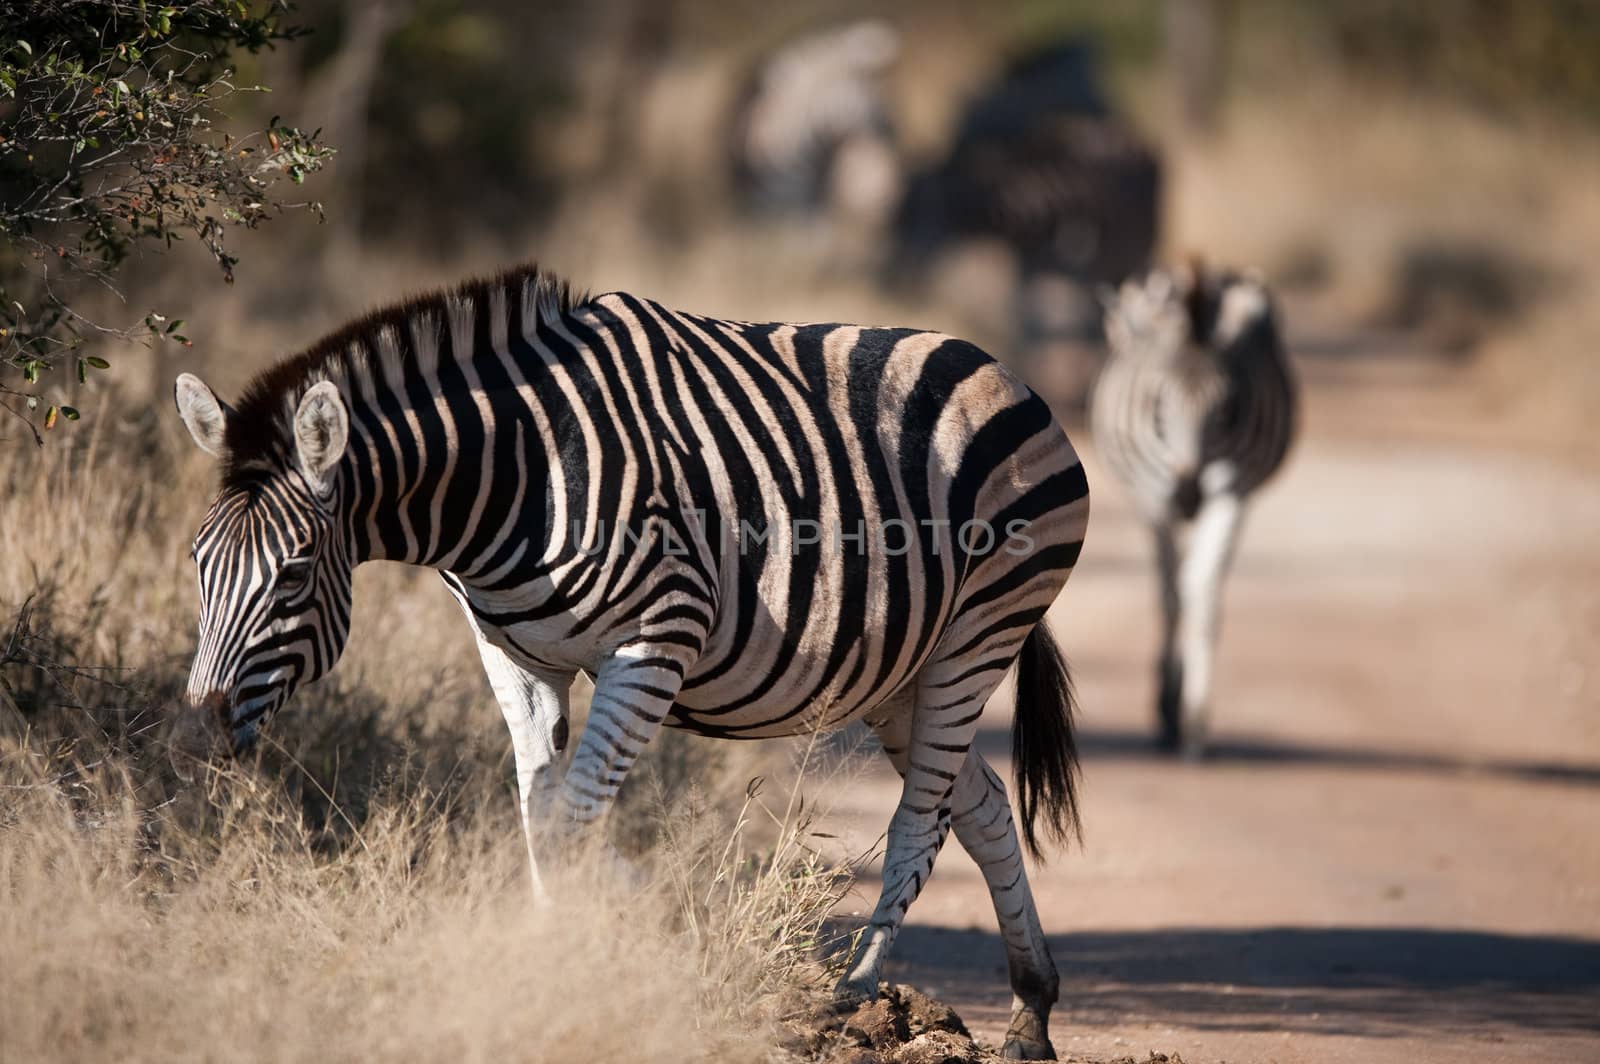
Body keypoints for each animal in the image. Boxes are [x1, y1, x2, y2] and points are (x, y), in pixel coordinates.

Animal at [175, 260, 1094, 1056]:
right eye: (196, 563)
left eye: (294, 573)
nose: (194, 740)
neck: (518, 472)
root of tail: (998, 369)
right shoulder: (514, 657)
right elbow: (542, 815)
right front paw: (564, 950)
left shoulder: (657, 639)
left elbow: (573, 816)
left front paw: (598, 944)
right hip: (902, 670)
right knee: (979, 805)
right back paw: (1030, 1013)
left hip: (980, 629)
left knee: (922, 817)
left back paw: (855, 992)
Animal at [1088, 264, 1299, 755]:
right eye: (1157, 403)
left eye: (1227, 408)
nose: (1188, 496)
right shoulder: (1154, 499)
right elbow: (1169, 597)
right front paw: (1169, 705)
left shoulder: (1233, 494)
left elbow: (1201, 591)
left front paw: (1196, 716)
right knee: (1171, 586)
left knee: (1190, 579)